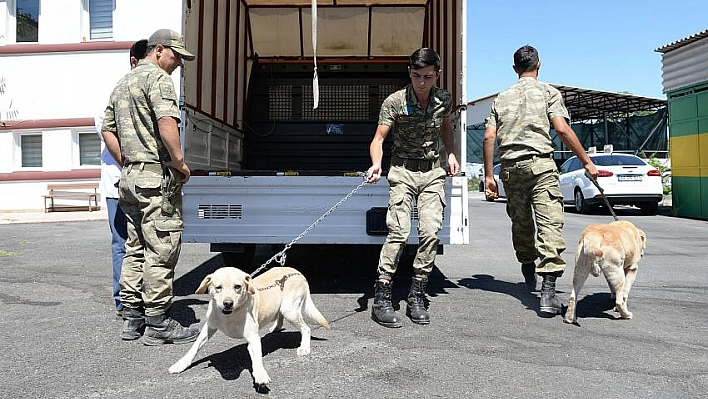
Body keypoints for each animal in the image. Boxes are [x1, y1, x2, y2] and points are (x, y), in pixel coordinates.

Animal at [169, 268, 330, 386]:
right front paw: (181, 364)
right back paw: (275, 328)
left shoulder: (253, 338)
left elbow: (257, 358)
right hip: (284, 308)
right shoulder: (209, 327)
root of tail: (297, 272)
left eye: (237, 287)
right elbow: (194, 348)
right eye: (218, 287)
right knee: (280, 316)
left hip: (289, 310)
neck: (229, 316)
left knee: (306, 328)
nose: (228, 303)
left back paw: (304, 347)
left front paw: (260, 374)